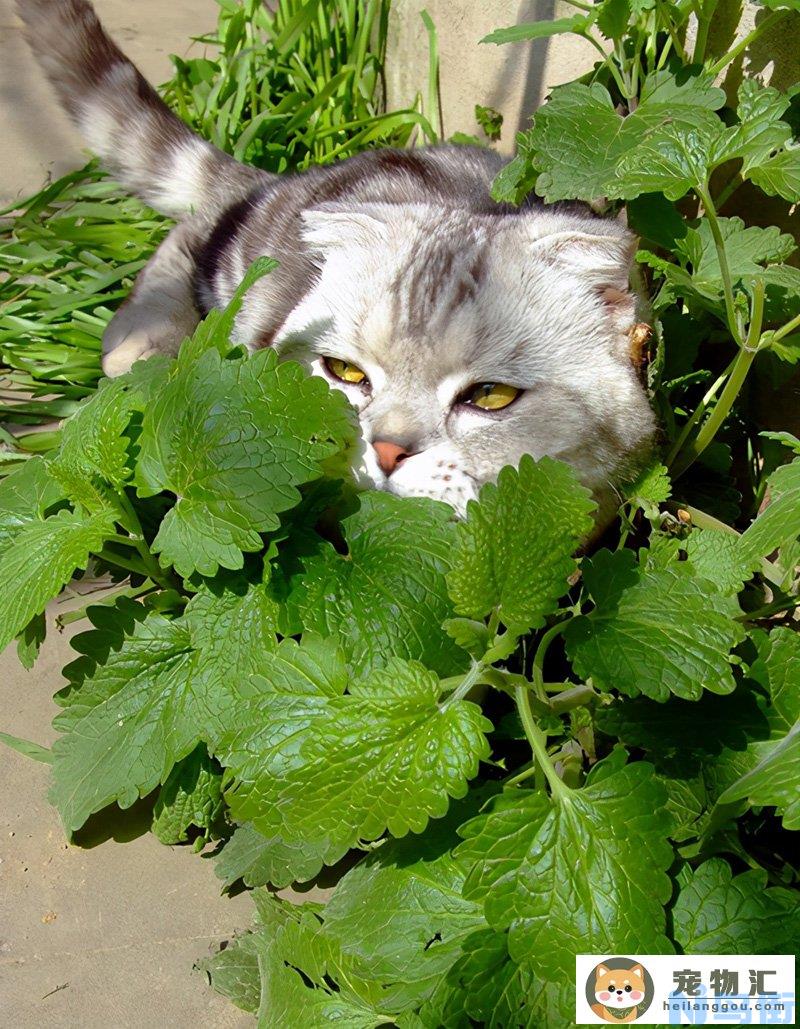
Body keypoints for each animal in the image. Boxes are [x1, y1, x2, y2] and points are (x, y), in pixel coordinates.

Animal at [17, 0, 654, 514]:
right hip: (238, 263)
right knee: (194, 229)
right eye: (345, 373)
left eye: (490, 397)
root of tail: (289, 180)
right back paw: (140, 340)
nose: (387, 451)